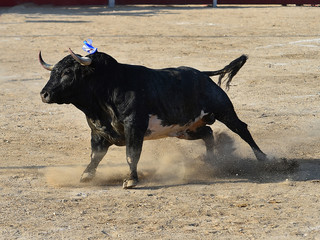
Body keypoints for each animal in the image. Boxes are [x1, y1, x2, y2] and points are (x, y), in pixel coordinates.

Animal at [38, 50, 266, 189]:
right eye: (53, 72)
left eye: (68, 72)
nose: (44, 94)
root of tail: (202, 74)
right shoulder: (98, 131)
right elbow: (96, 155)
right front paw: (86, 176)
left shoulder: (134, 127)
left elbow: (132, 154)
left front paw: (131, 180)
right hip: (185, 129)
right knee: (208, 133)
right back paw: (211, 161)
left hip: (224, 110)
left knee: (242, 129)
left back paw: (262, 158)